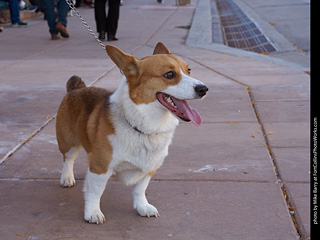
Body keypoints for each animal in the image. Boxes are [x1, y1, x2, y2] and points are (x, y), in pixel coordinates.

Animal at [56, 42, 209, 224]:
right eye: (169, 74)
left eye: (189, 70)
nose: (204, 89)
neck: (144, 127)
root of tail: (77, 88)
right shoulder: (100, 167)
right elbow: (95, 192)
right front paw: (93, 212)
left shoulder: (150, 167)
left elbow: (140, 189)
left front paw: (143, 207)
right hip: (68, 141)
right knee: (68, 159)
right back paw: (67, 178)